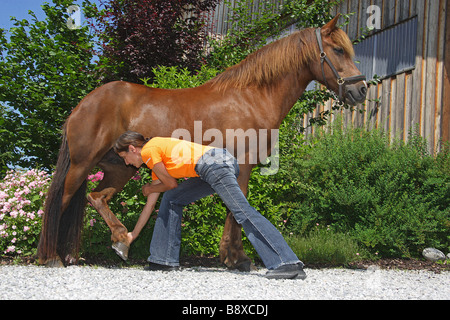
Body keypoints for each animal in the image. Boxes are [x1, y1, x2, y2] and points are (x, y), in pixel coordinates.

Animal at [38, 16, 368, 268]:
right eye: (338, 49)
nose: (361, 89)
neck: (251, 97)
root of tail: (83, 104)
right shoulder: (242, 163)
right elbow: (238, 208)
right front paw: (236, 258)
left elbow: (234, 208)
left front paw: (232, 256)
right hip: (82, 165)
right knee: (60, 201)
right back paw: (51, 256)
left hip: (119, 168)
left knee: (97, 198)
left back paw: (115, 241)